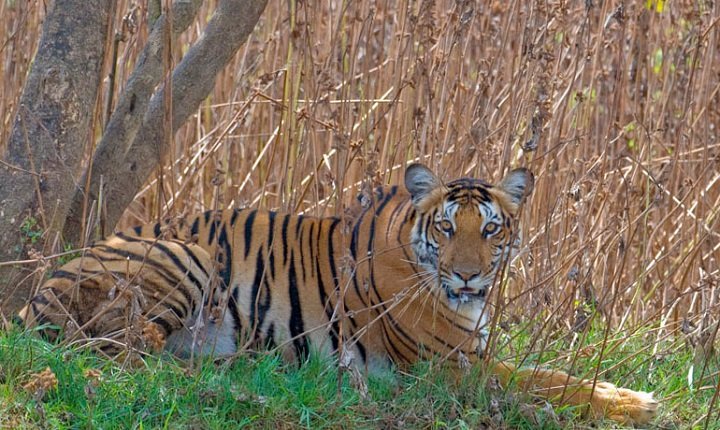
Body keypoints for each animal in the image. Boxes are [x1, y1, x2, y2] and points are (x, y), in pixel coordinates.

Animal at [19, 163, 658, 425]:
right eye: (448, 228)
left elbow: (551, 374)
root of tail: (38, 292)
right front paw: (639, 404)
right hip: (186, 257)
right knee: (123, 350)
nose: (469, 277)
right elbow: (544, 381)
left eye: (491, 230)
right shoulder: (448, 367)